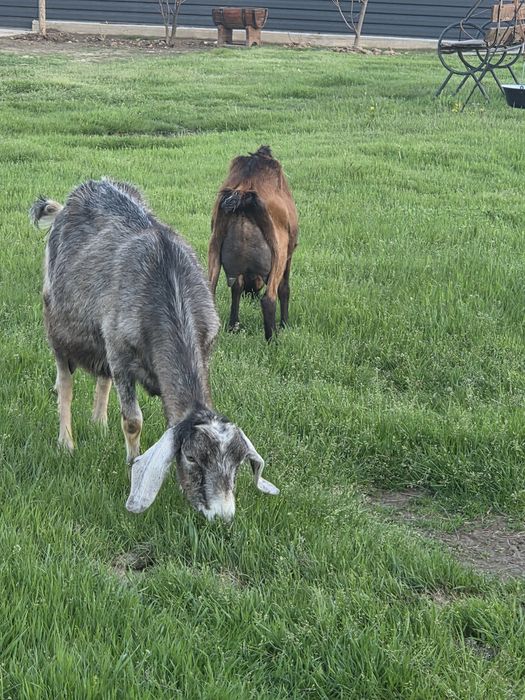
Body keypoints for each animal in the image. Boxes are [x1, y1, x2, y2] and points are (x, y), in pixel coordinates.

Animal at [30, 179, 278, 522]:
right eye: (192, 457)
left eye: (238, 462)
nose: (222, 515)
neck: (168, 286)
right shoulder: (122, 359)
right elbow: (132, 420)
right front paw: (131, 463)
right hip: (58, 328)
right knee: (65, 384)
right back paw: (67, 442)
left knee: (102, 377)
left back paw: (98, 423)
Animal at [208, 146, 298, 341]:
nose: (250, 295)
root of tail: (243, 195)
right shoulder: (288, 254)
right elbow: (285, 288)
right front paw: (285, 324)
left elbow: (236, 287)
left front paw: (233, 325)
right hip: (278, 253)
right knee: (269, 299)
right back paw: (273, 340)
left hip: (214, 245)